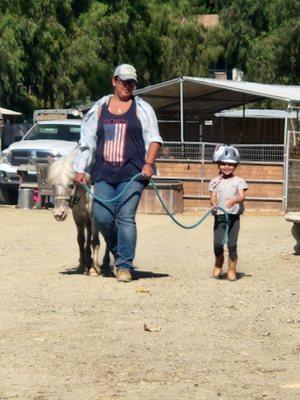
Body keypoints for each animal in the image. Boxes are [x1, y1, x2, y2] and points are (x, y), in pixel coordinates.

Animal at [48, 148, 110, 276]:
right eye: (53, 185)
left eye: (71, 185)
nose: (58, 214)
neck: (86, 190)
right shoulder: (78, 217)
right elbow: (81, 240)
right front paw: (82, 265)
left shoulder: (94, 217)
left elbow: (94, 241)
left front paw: (93, 269)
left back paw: (105, 263)